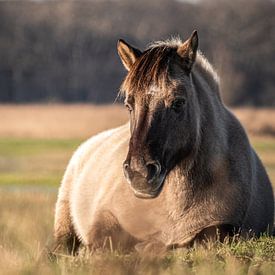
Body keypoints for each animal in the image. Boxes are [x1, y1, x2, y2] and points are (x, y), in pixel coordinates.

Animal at [53, 31, 274, 256]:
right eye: (129, 105)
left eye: (178, 102)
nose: (139, 173)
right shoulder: (105, 217)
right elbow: (104, 240)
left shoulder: (225, 227)